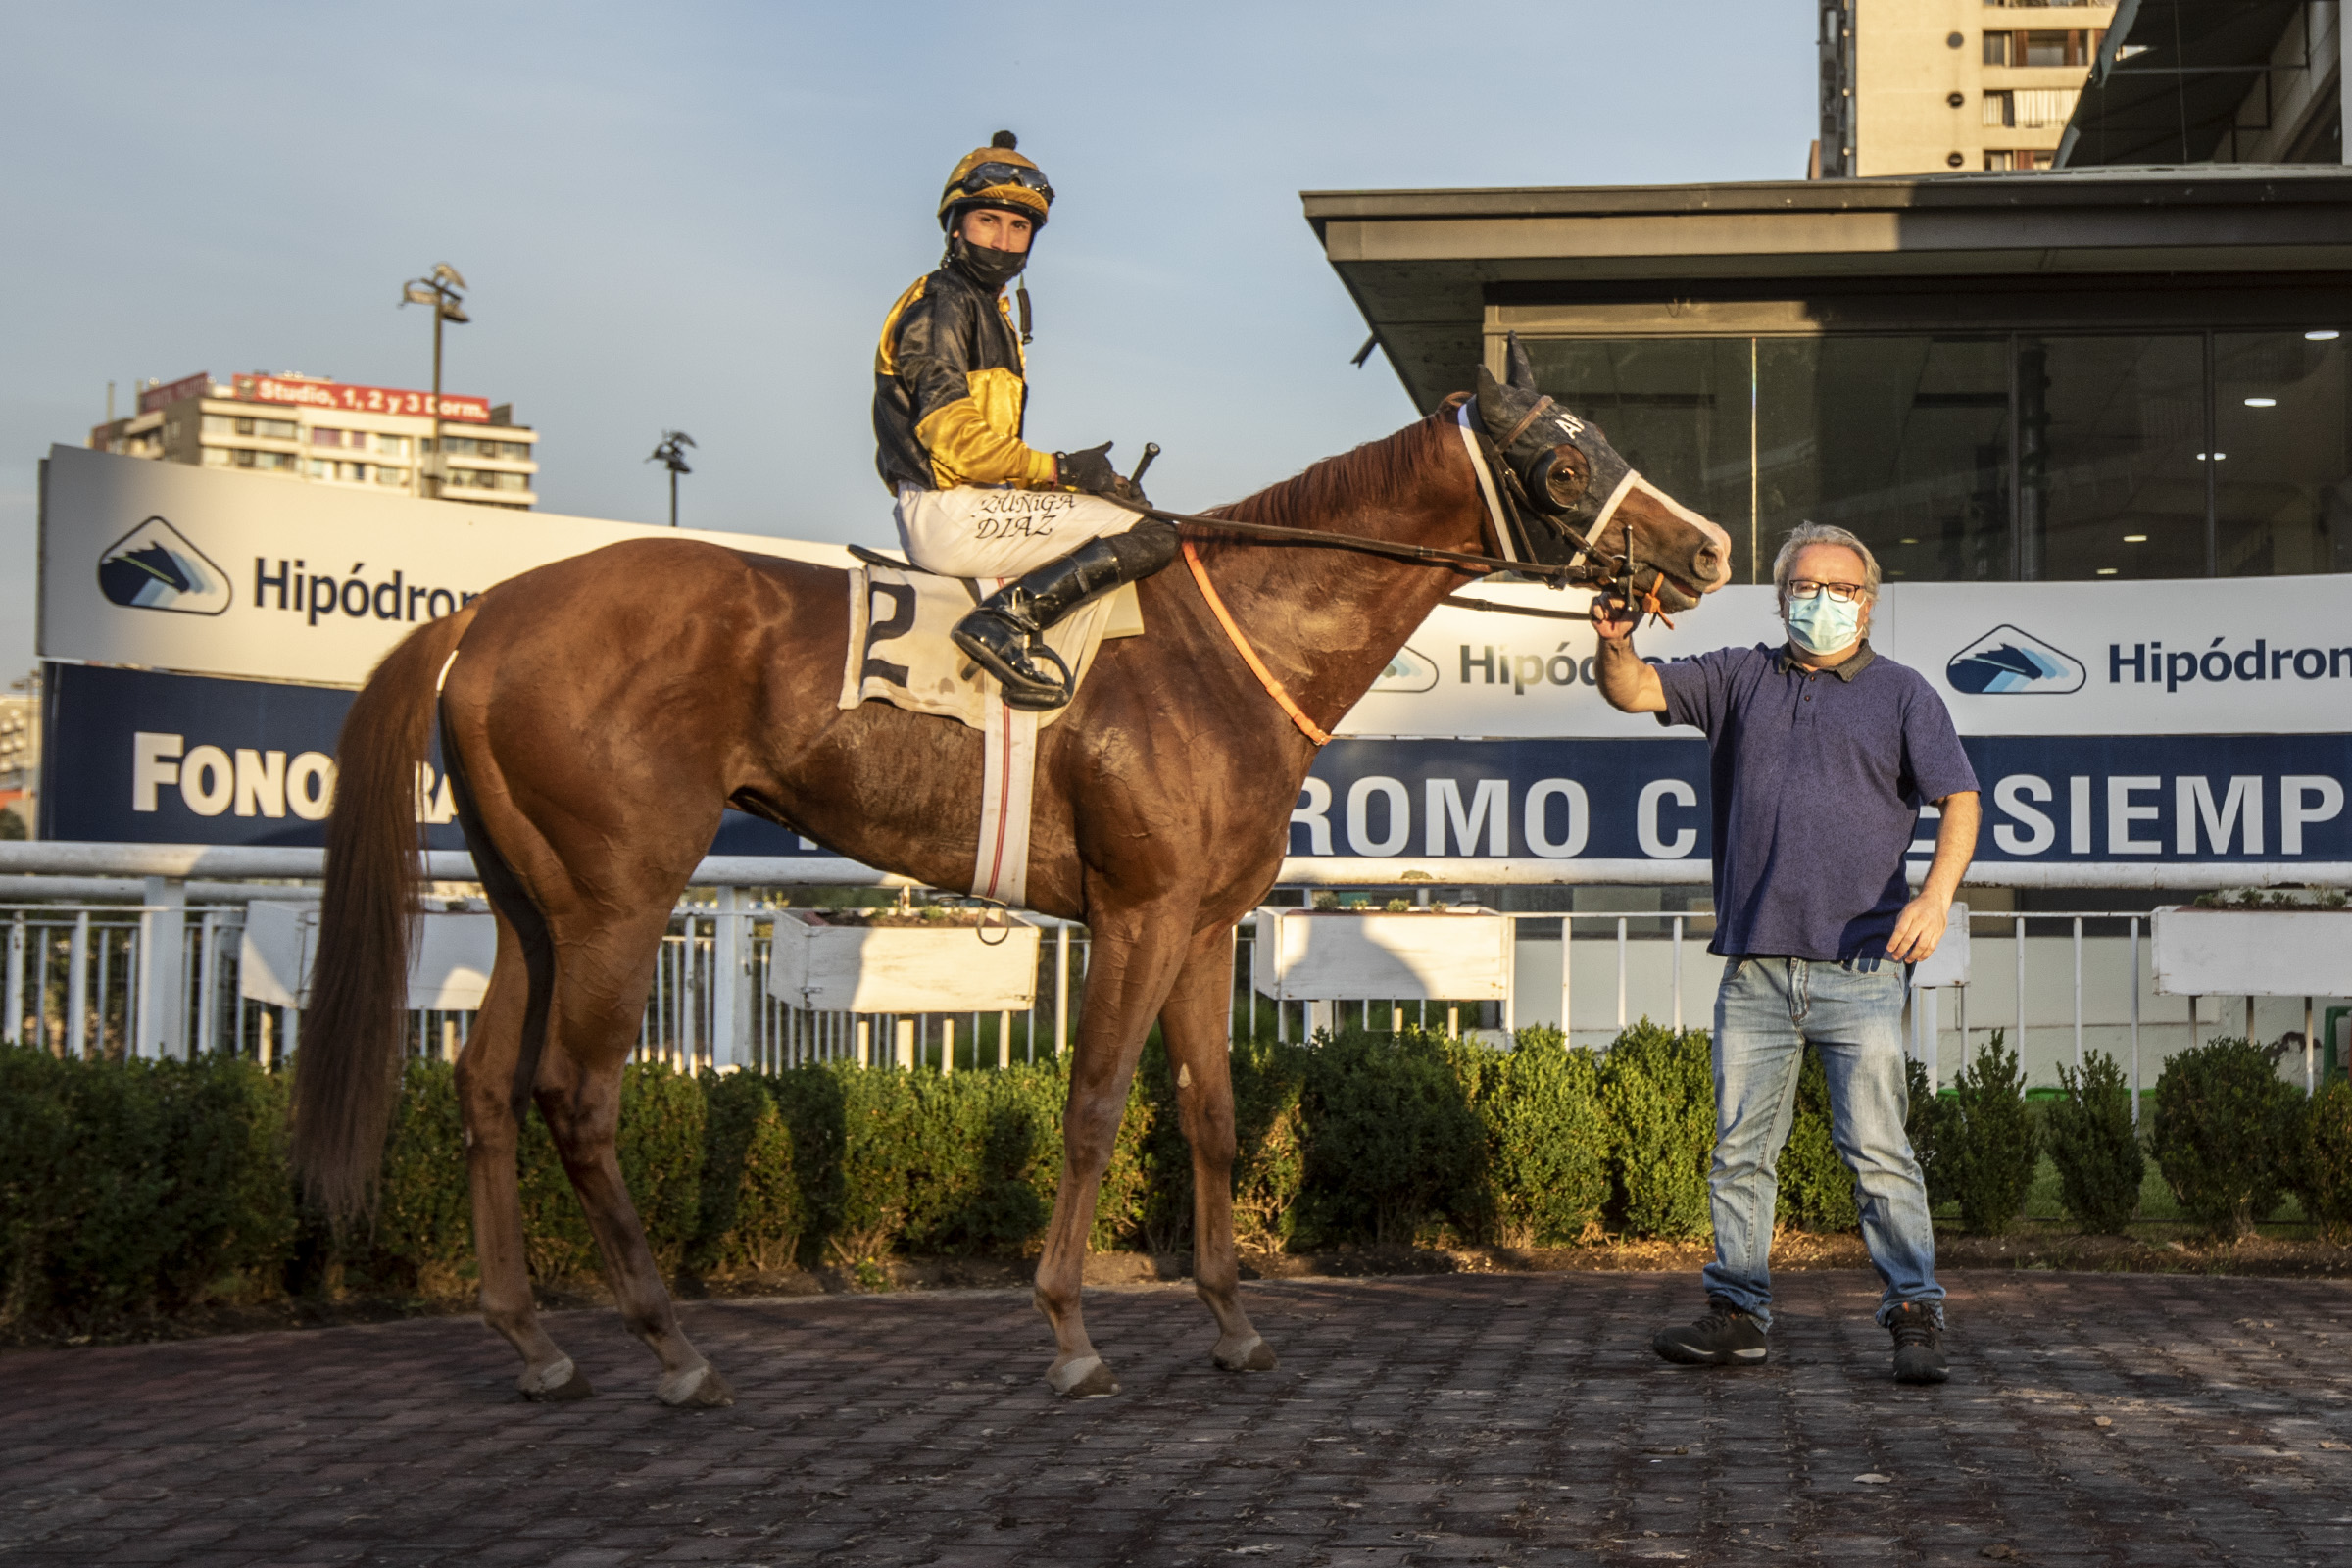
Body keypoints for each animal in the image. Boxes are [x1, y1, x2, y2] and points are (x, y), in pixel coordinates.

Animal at [290, 351, 1733, 1407]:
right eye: (1564, 458)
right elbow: (1095, 1107)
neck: (1229, 644)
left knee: (483, 1086)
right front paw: (1072, 1331)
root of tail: (484, 610)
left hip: (530, 902)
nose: (1711, 548)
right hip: (620, 894)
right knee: (575, 1098)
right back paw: (670, 1345)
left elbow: (1210, 1113)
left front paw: (1232, 1323)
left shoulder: (1207, 923)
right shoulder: (1137, 913)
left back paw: (535, 1341)